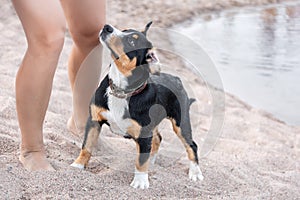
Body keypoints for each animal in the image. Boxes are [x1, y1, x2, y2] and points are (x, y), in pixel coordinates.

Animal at [71, 22, 204, 189]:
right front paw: (78, 165)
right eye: (124, 30)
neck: (121, 90)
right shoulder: (94, 120)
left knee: (191, 145)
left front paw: (140, 182)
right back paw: (152, 162)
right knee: (157, 139)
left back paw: (195, 173)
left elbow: (140, 161)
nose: (107, 27)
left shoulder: (143, 133)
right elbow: (87, 146)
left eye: (132, 42)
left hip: (181, 123)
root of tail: (176, 78)